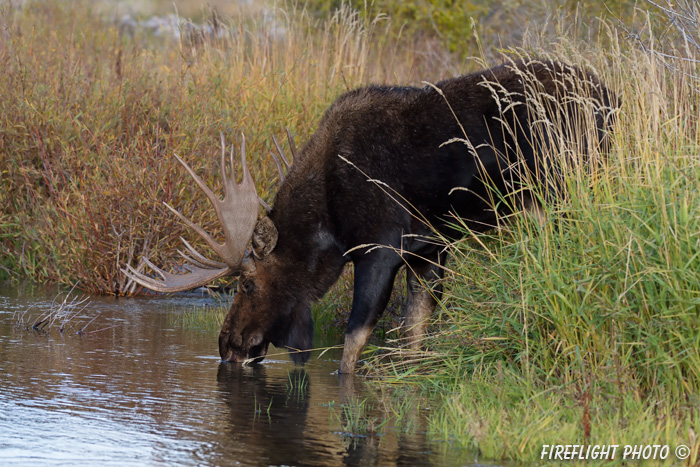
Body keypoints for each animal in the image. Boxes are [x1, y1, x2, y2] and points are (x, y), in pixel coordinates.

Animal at [123, 57, 616, 372]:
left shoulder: (380, 244)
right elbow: (414, 336)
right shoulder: (430, 249)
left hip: (563, 189)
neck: (328, 223)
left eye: (247, 283)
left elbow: (353, 342)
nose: (227, 346)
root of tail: (611, 99)